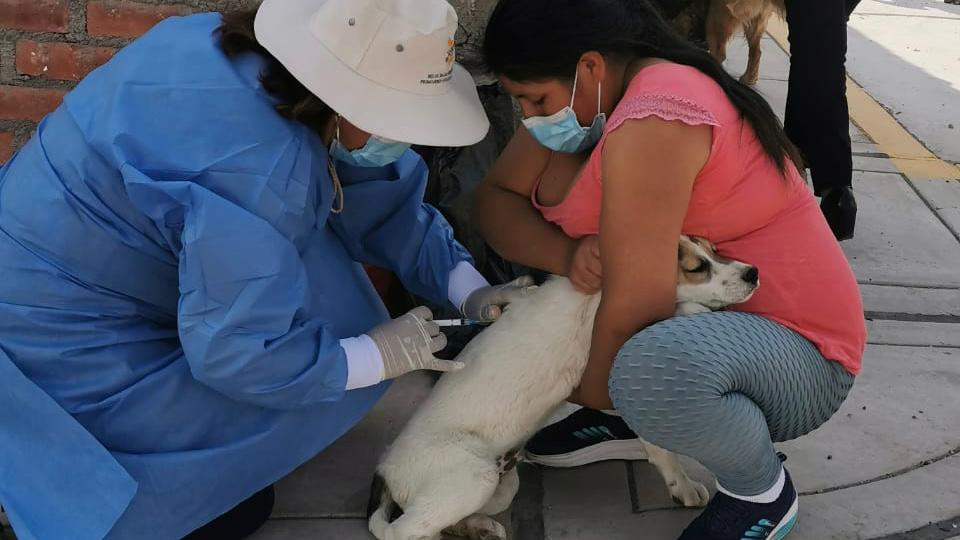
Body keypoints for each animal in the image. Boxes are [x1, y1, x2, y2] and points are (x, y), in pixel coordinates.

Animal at [368, 235, 756, 540]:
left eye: (714, 249)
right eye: (697, 267)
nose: (753, 272)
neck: (597, 290)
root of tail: (385, 468)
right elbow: (662, 450)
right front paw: (683, 487)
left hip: (496, 484)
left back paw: (478, 527)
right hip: (473, 476)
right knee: (399, 532)